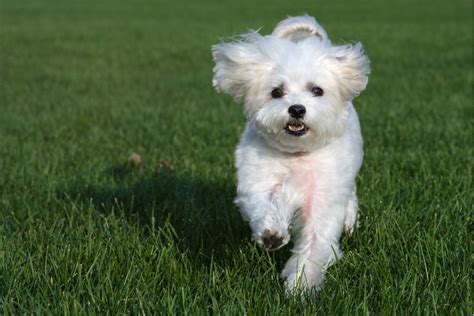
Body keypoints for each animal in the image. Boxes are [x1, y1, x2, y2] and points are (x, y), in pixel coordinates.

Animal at [211, 14, 370, 292]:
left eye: (317, 90)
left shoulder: (323, 198)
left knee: (349, 196)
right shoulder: (258, 180)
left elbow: (315, 243)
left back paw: (350, 221)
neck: (298, 155)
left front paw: (301, 287)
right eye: (277, 92)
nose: (296, 109)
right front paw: (271, 234)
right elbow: (263, 204)